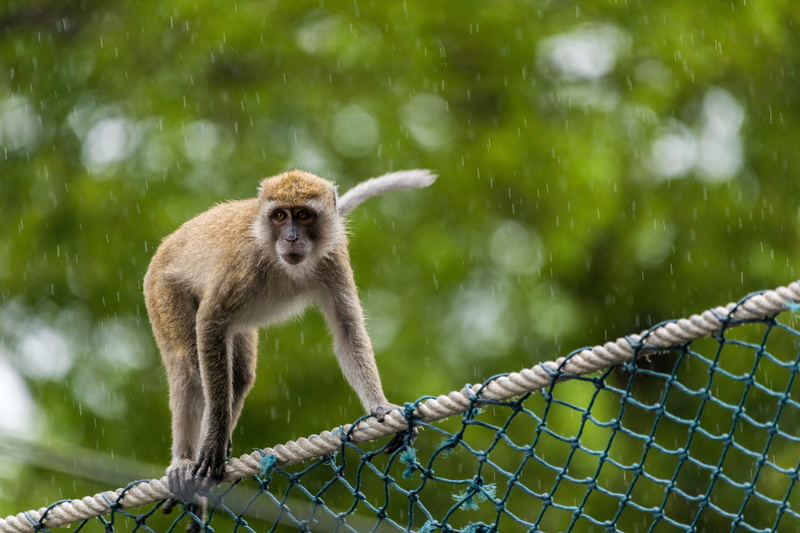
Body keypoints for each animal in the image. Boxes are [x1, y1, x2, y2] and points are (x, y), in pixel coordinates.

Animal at [144, 169, 435, 518]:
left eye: (304, 215)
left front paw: (381, 408)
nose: (292, 238)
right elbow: (210, 324)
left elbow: (348, 332)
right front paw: (213, 439)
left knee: (238, 375)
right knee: (186, 364)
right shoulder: (243, 263)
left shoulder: (333, 257)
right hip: (162, 290)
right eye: (281, 216)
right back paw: (185, 459)